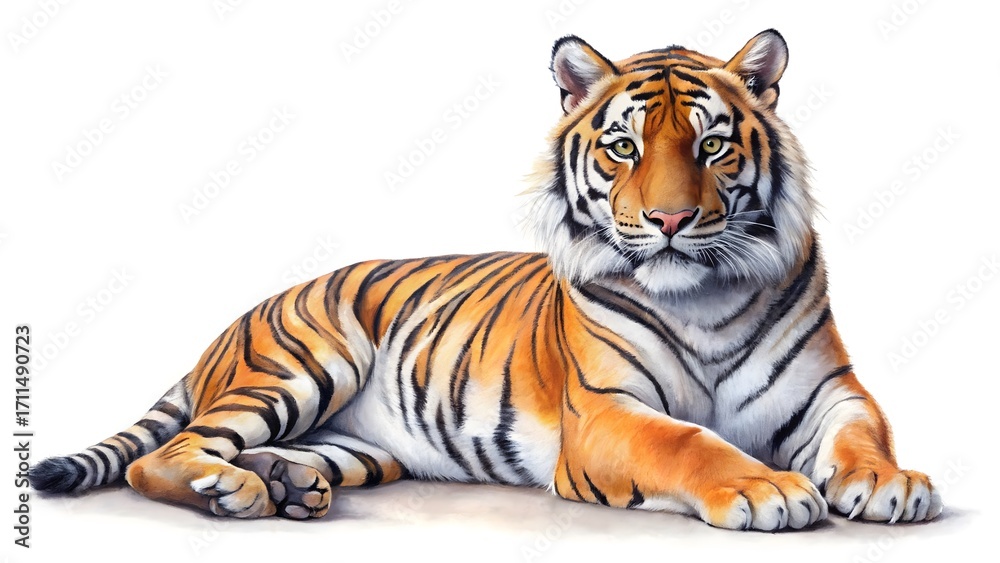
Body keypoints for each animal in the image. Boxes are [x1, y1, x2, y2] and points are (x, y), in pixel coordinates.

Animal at [30, 29, 942, 531]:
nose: (672, 220)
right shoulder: (604, 413)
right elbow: (689, 439)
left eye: (711, 145)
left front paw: (891, 485)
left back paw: (288, 485)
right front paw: (765, 486)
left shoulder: (831, 389)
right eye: (624, 147)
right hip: (301, 364)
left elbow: (864, 434)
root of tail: (227, 328)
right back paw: (234, 491)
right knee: (169, 454)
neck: (703, 297)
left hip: (355, 442)